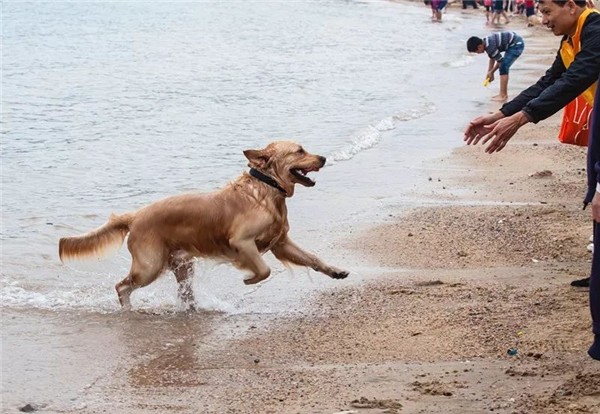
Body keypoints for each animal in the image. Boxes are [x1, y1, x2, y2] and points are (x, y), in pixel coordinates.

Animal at [58, 141, 350, 308]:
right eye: (299, 151)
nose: (323, 158)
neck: (266, 190)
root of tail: (134, 215)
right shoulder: (241, 242)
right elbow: (264, 270)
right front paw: (249, 279)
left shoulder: (281, 243)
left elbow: (313, 258)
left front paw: (336, 271)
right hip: (149, 265)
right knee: (122, 286)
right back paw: (129, 308)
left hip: (182, 265)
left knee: (183, 293)